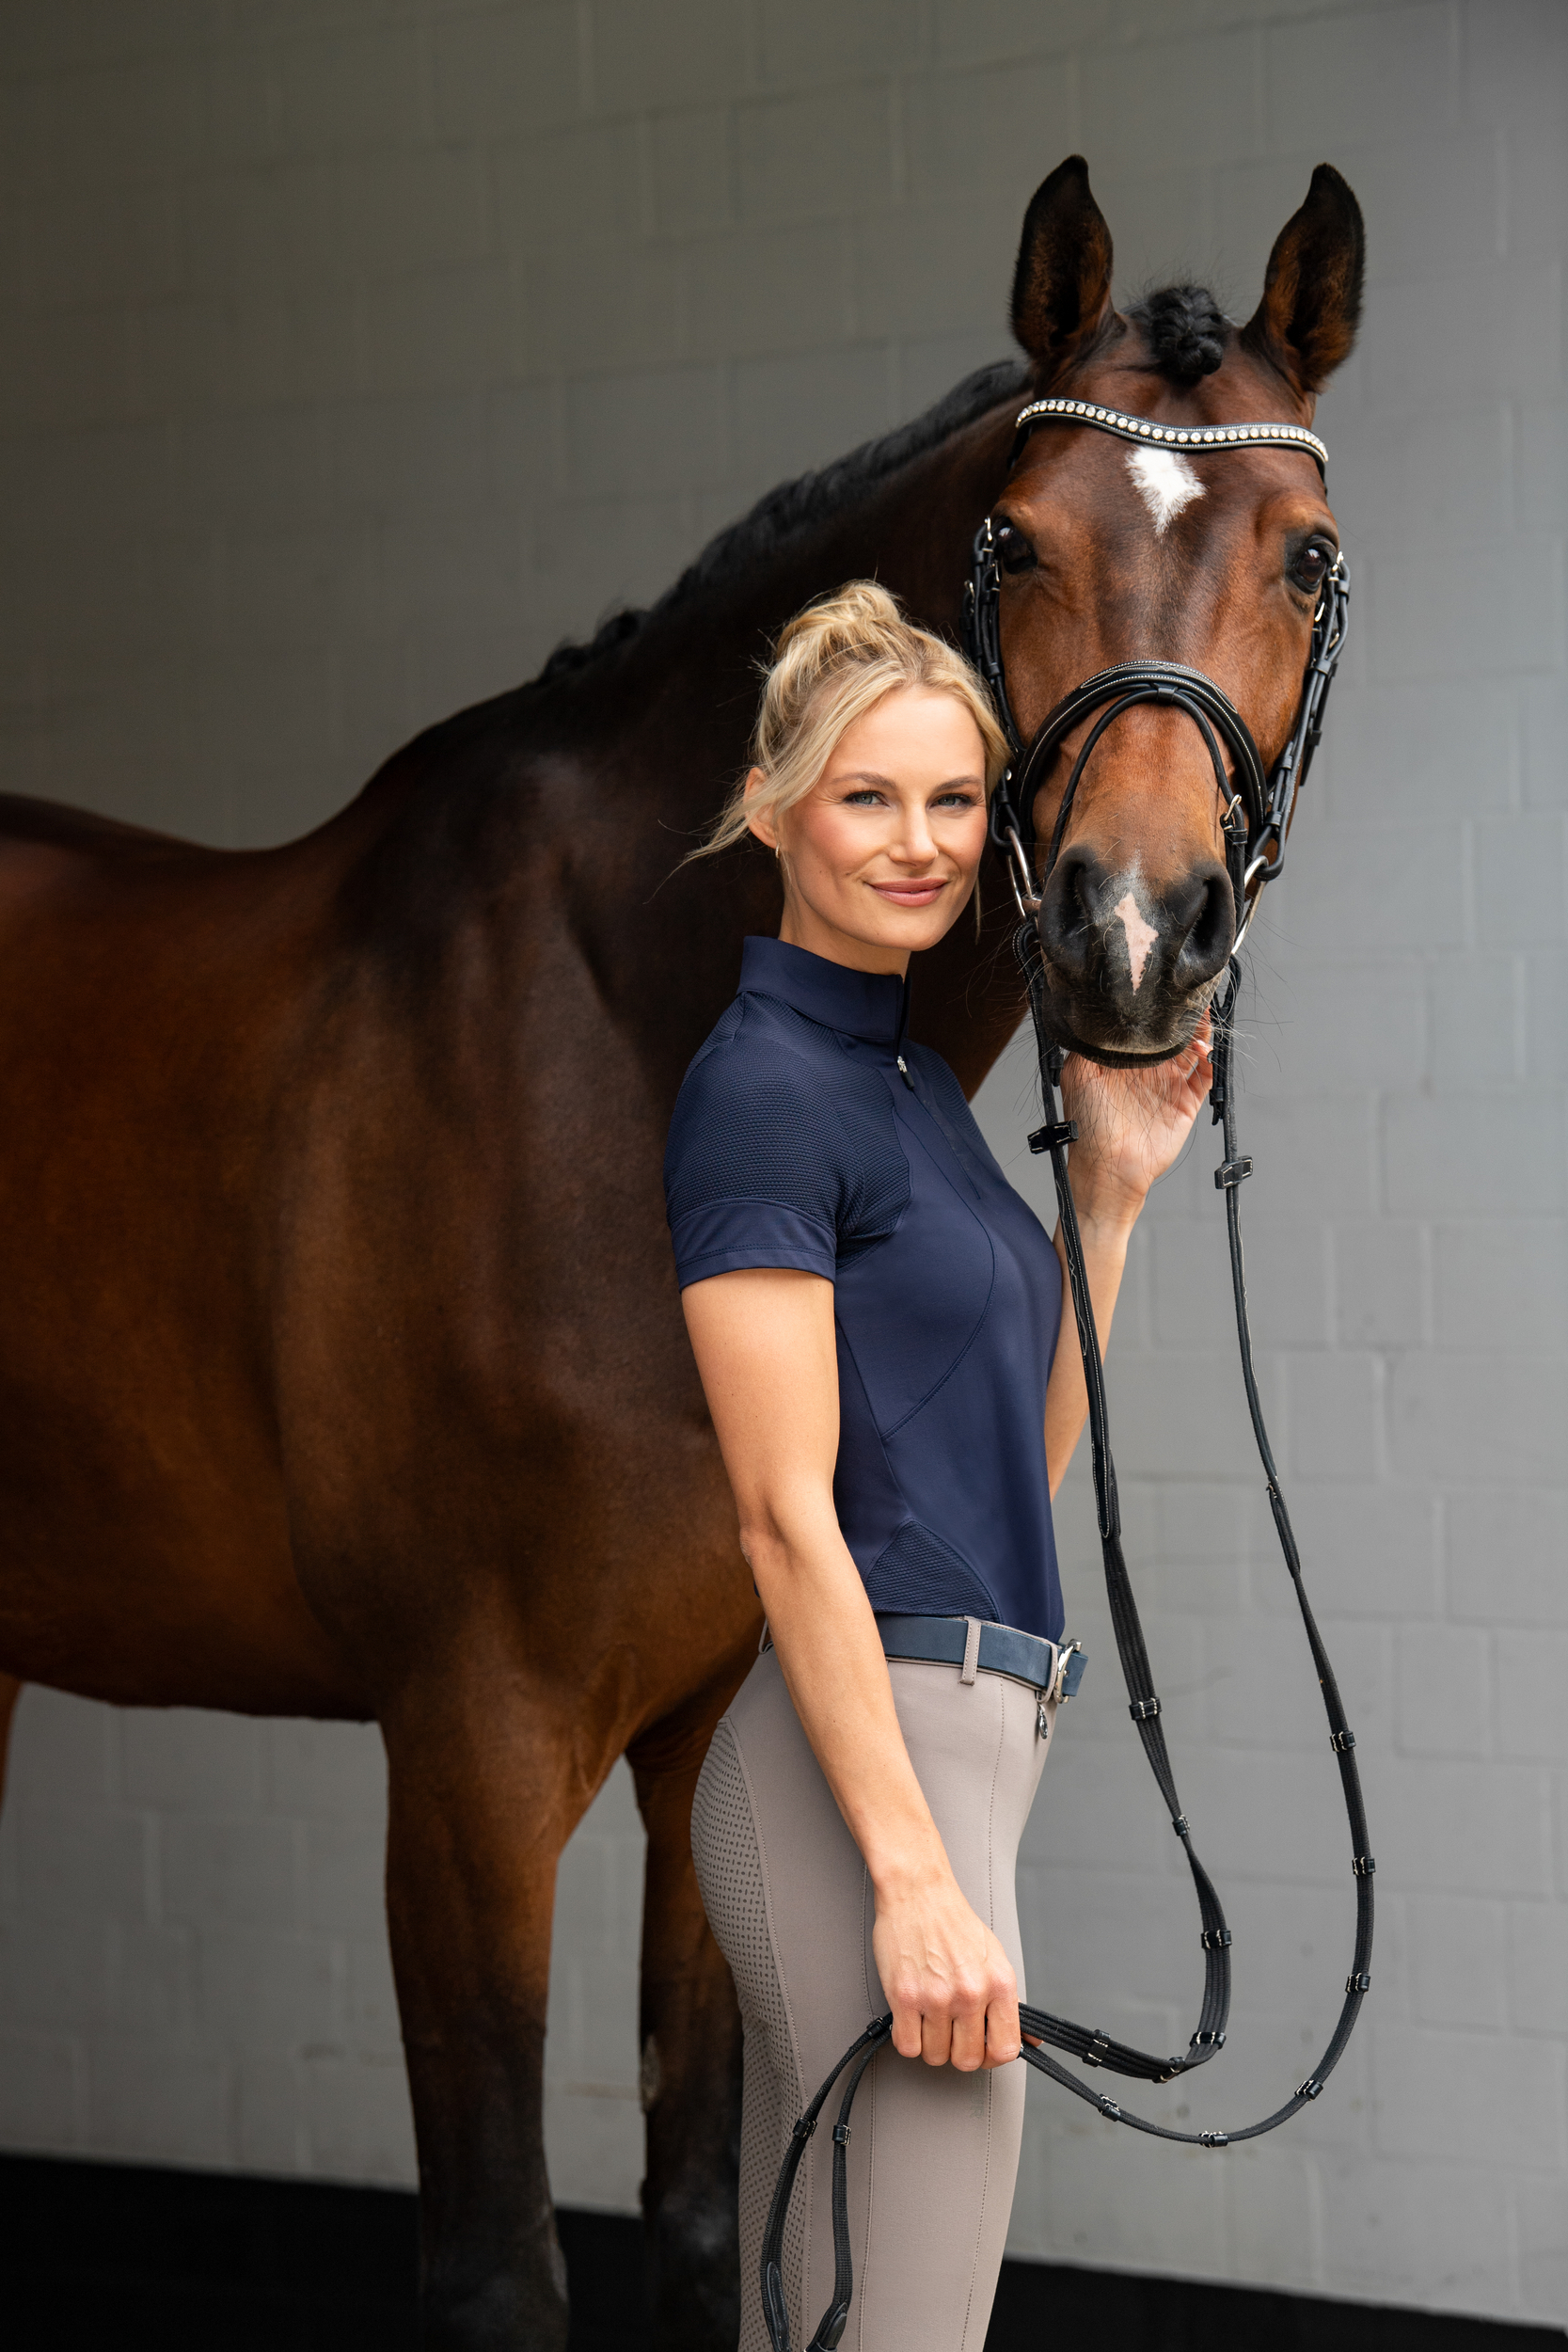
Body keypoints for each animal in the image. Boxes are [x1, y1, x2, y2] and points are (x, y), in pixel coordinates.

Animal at [0, 156, 1362, 2350]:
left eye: (1305, 560)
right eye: (1011, 540)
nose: (1129, 938)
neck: (624, 1034)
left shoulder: (728, 1729)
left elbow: (720, 2213)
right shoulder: (465, 1756)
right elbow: (499, 2260)